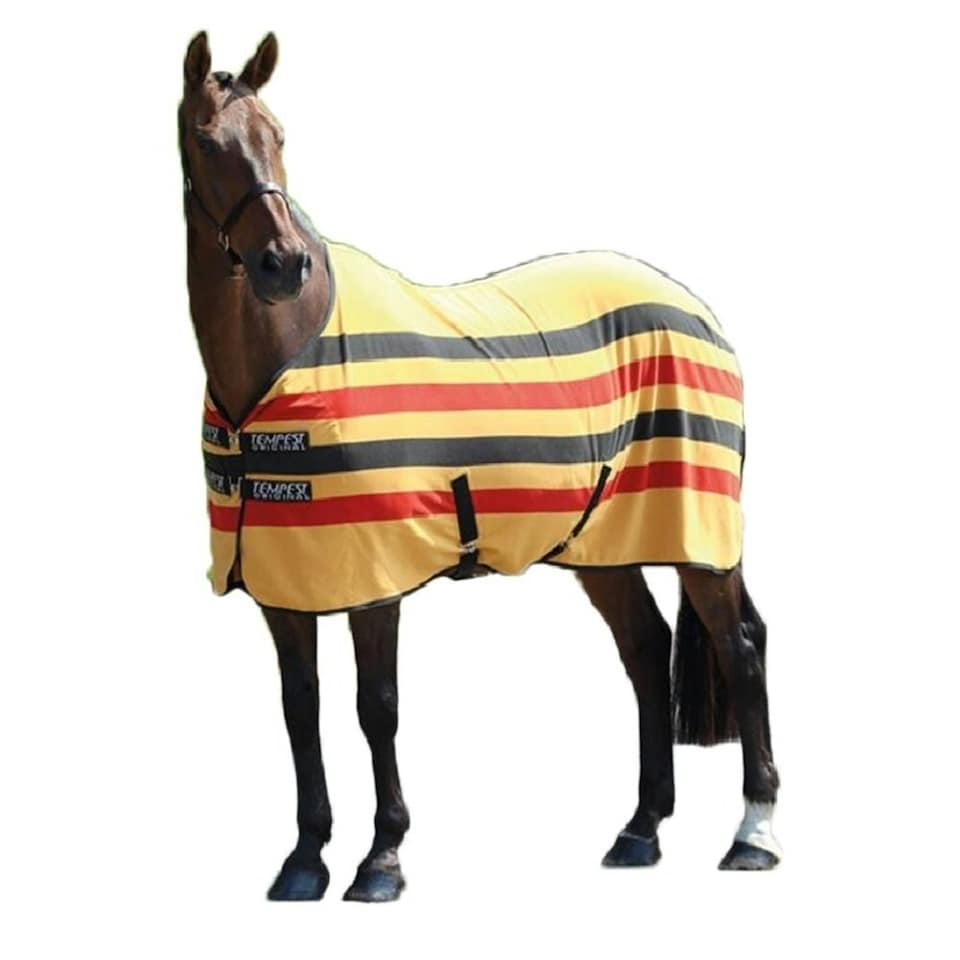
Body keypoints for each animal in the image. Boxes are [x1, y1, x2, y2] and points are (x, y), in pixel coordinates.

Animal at [178, 30, 781, 901]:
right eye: (206, 139)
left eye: (278, 137)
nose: (281, 264)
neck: (281, 363)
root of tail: (697, 312)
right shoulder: (285, 581)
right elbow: (301, 708)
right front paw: (303, 859)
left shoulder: (374, 577)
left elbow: (376, 706)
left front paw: (381, 860)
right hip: (603, 546)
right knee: (646, 651)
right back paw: (639, 831)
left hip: (699, 535)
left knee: (739, 647)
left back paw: (753, 834)